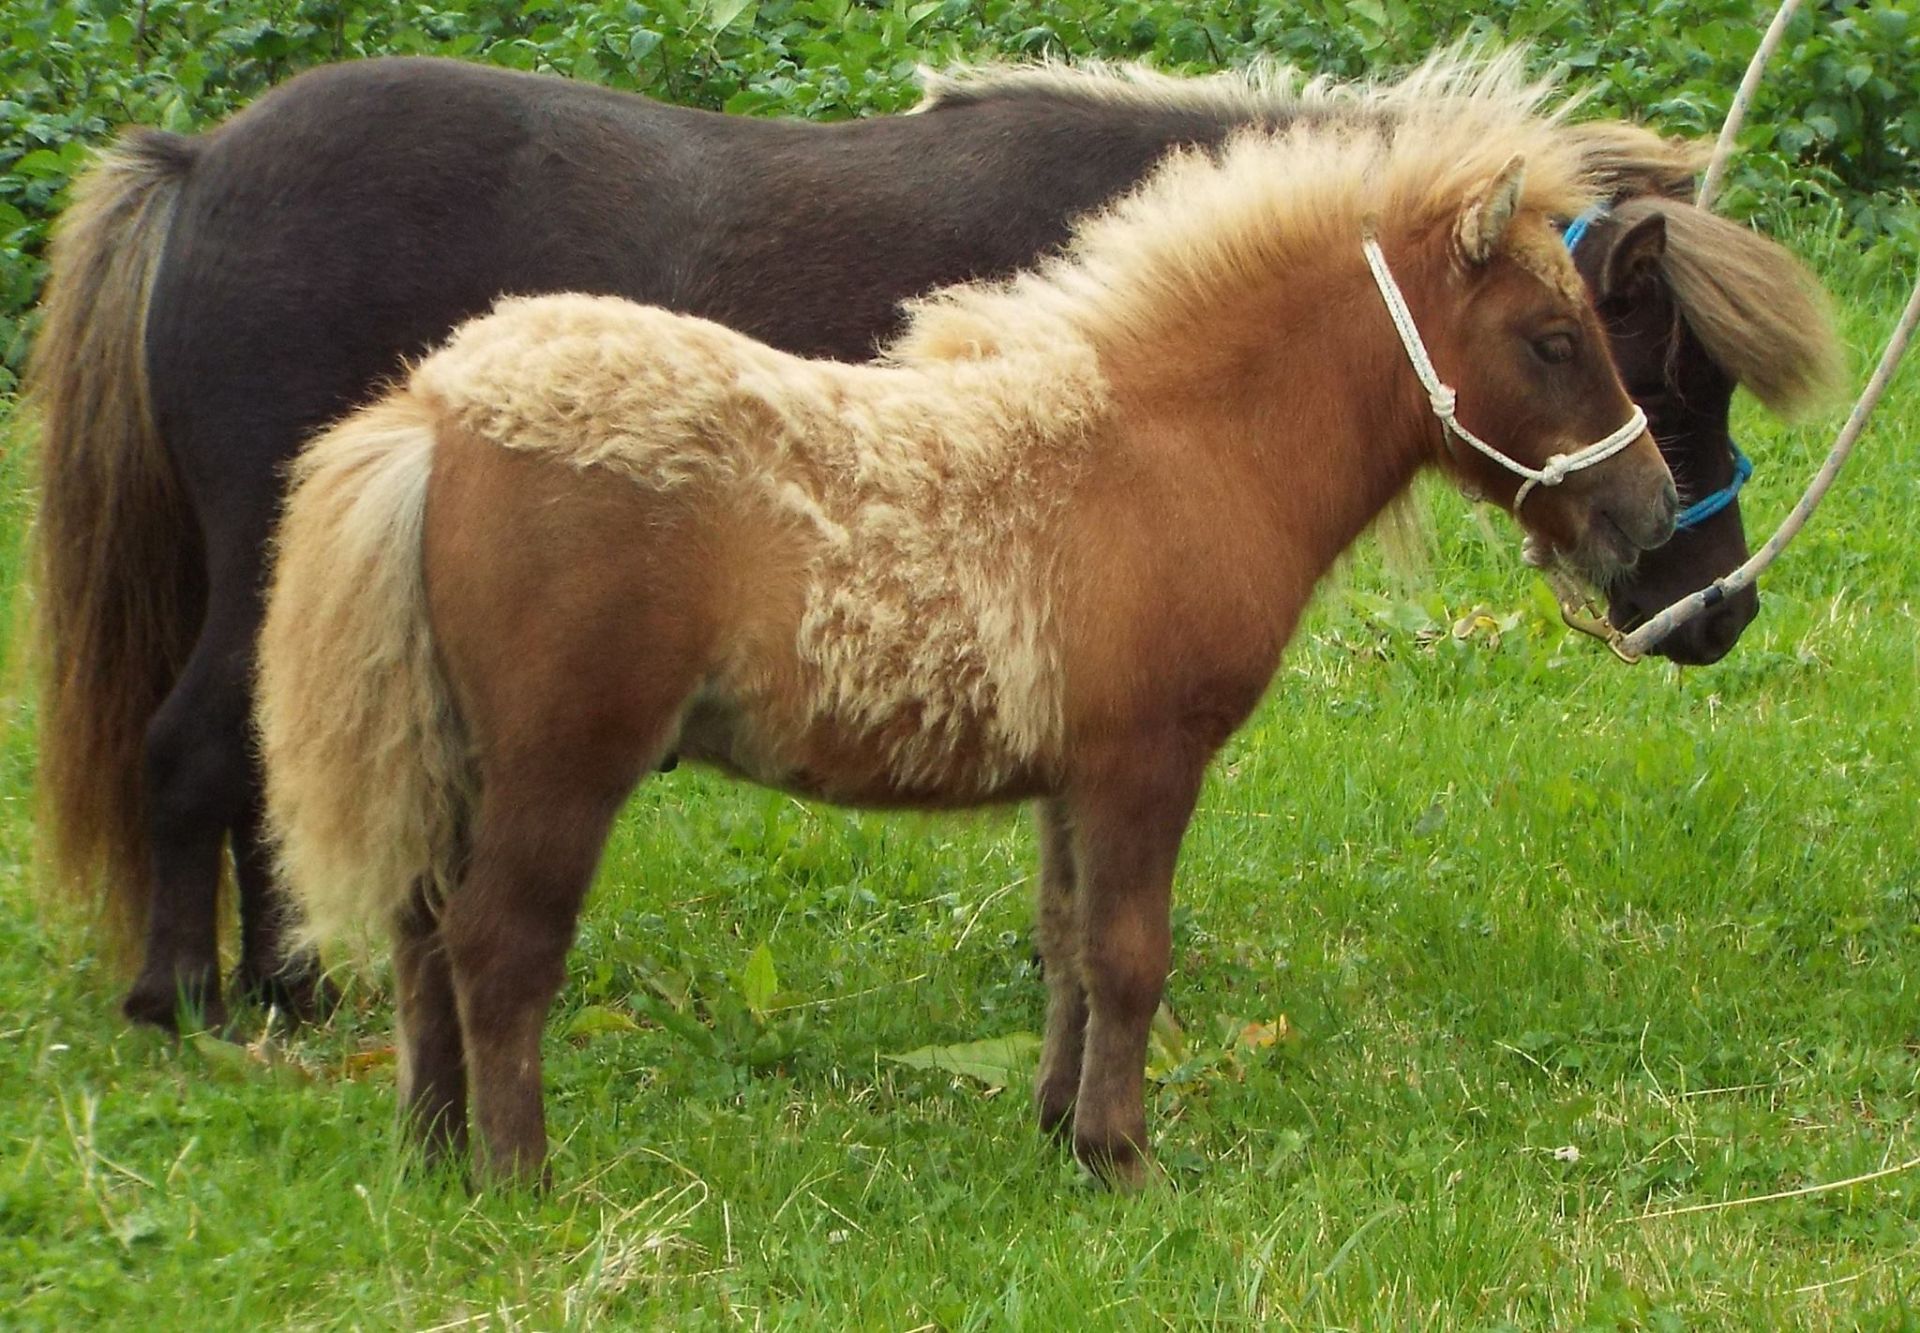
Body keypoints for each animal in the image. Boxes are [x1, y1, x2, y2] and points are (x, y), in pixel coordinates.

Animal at [22, 49, 1835, 1037]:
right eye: (1634, 354)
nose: (1709, 604)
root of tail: (204, 161)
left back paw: (292, 983)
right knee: (198, 753)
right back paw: (193, 1004)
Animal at [259, 94, 1681, 1190]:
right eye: (1556, 340)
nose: (1650, 511)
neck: (1173, 444)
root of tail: (437, 413)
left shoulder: (1075, 774)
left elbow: (1067, 948)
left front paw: (1057, 1127)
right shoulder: (1146, 765)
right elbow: (1131, 956)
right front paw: (1122, 1156)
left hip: (461, 760)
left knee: (421, 931)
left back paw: (432, 1156)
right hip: (562, 765)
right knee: (497, 945)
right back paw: (520, 1178)